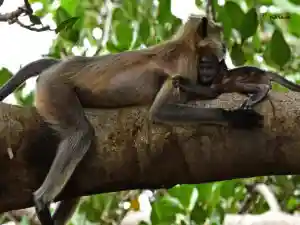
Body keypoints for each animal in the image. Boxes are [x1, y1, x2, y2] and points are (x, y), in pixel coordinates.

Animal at [0, 14, 264, 224]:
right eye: (220, 38)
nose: (225, 47)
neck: (185, 46)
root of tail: (59, 65)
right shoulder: (186, 67)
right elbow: (160, 111)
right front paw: (235, 117)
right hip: (55, 89)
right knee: (80, 134)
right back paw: (42, 201)